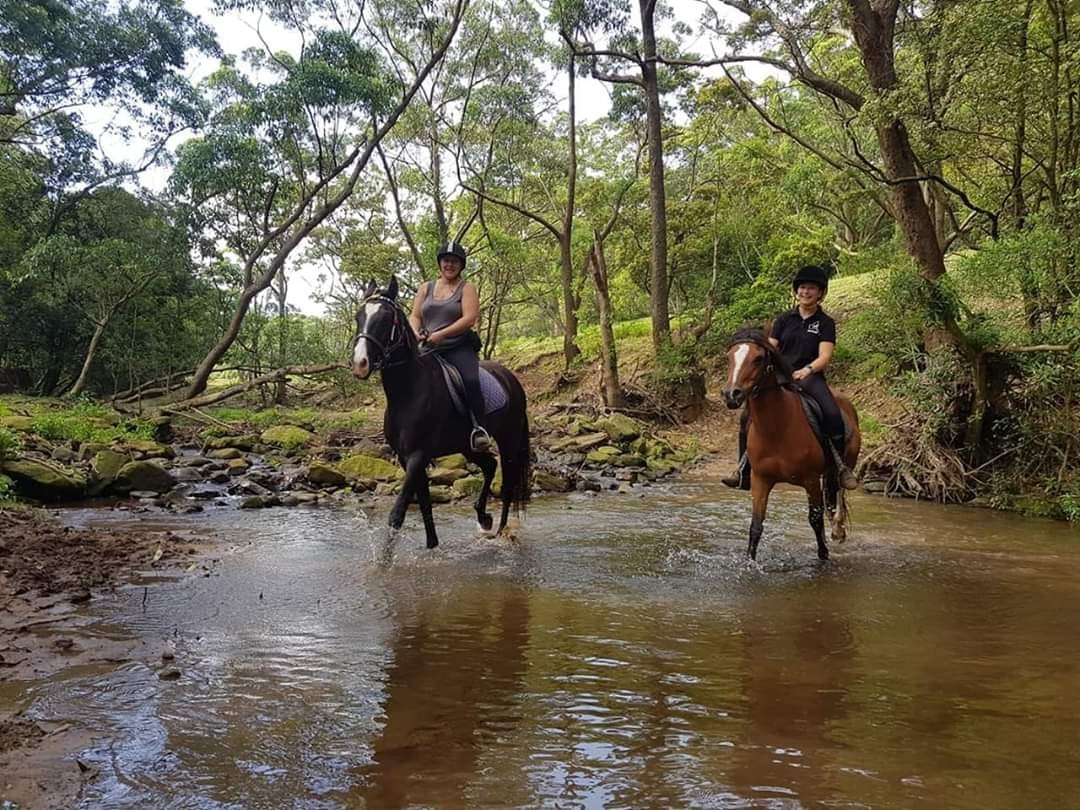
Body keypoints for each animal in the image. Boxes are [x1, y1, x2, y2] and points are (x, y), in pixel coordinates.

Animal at [721, 326, 864, 561]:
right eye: (729, 357)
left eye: (758, 358)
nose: (731, 394)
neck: (777, 428)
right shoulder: (761, 479)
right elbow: (755, 526)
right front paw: (750, 561)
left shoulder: (811, 480)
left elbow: (815, 520)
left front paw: (823, 556)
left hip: (846, 462)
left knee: (841, 492)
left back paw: (837, 529)